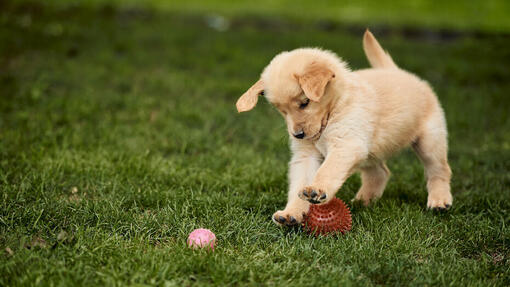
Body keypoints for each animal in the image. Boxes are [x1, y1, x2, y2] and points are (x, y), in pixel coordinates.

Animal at [237, 29, 452, 227]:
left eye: (305, 103)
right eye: (281, 110)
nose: (298, 135)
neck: (335, 107)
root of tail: (398, 71)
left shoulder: (346, 144)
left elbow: (328, 169)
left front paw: (317, 189)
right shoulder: (307, 154)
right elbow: (300, 181)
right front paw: (292, 213)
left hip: (429, 141)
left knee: (439, 170)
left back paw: (439, 201)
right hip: (370, 151)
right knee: (380, 172)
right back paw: (363, 201)